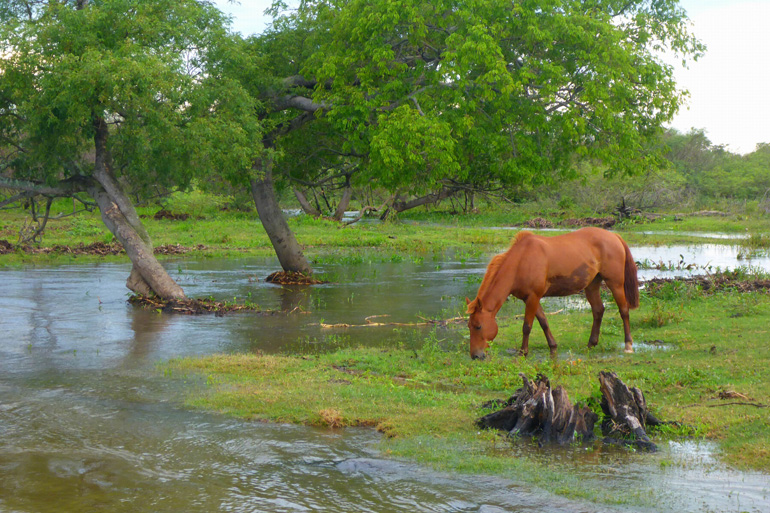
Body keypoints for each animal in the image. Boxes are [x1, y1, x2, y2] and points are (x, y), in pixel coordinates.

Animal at [468, 228, 636, 360]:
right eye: (469, 326)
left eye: (478, 326)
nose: (475, 355)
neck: (521, 261)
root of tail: (614, 236)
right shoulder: (530, 299)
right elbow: (544, 322)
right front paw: (553, 347)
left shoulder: (533, 297)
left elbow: (527, 326)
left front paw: (523, 352)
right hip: (592, 285)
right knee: (598, 310)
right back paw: (591, 344)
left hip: (615, 283)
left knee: (624, 311)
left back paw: (628, 345)